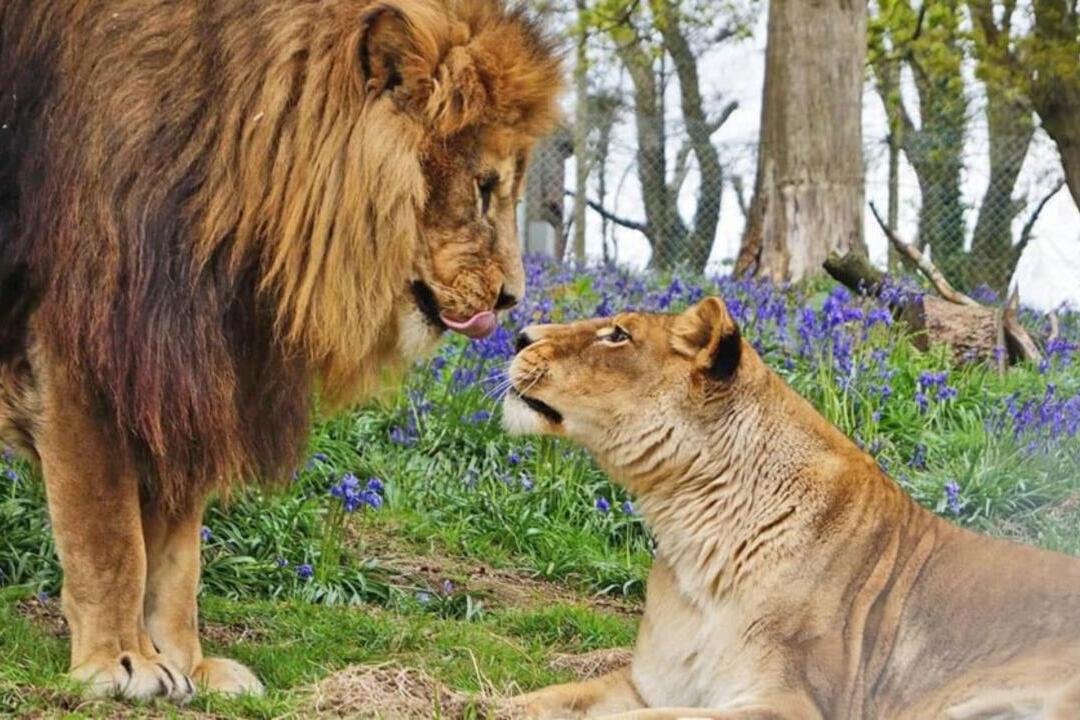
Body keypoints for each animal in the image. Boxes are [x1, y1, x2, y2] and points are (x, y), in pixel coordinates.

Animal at [0, 0, 561, 701]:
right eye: (484, 187)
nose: (513, 298)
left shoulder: (188, 362)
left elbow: (178, 552)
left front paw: (187, 663)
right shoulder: (85, 344)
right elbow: (109, 534)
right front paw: (121, 662)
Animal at [502, 298, 1080, 720]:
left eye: (618, 334)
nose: (519, 334)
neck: (690, 523)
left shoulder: (792, 703)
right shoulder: (650, 683)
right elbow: (552, 697)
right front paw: (495, 703)